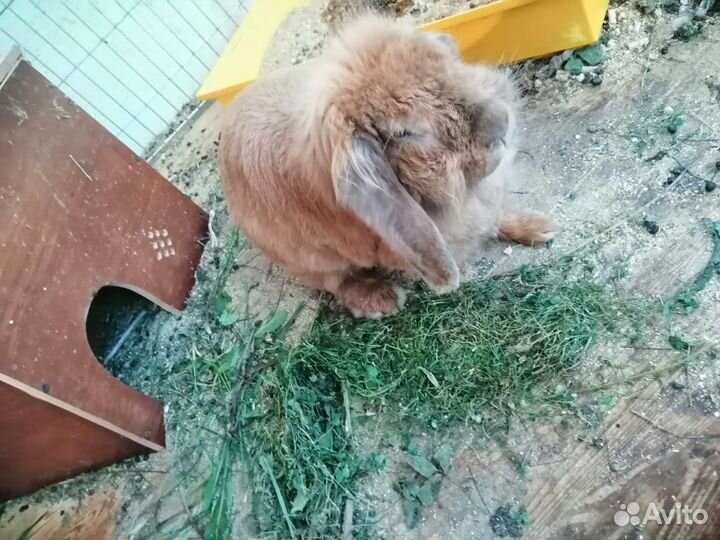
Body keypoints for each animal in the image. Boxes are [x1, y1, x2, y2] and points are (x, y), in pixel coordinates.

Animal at [219, 15, 554, 318]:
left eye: (450, 62)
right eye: (405, 132)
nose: (501, 122)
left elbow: (493, 217)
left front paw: (539, 227)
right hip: (311, 260)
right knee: (336, 282)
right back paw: (382, 299)